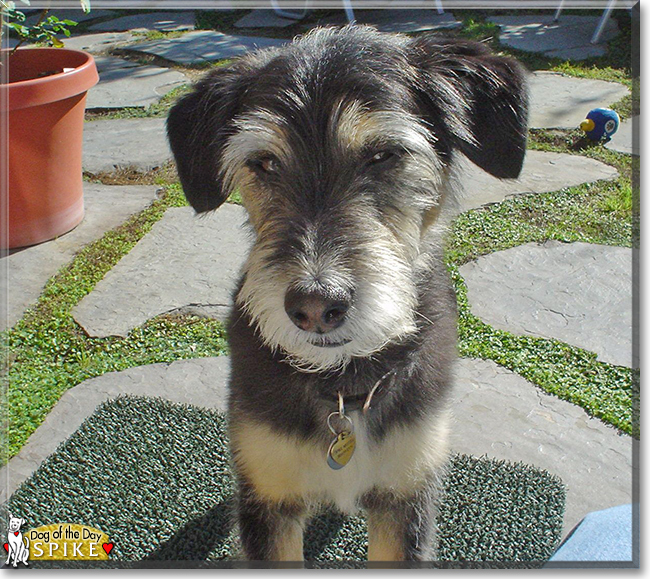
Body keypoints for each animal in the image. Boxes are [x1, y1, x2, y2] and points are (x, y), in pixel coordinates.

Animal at [167, 24, 528, 564]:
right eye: (263, 162)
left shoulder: (406, 496)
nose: (315, 308)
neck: (343, 386)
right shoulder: (268, 496)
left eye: (384, 154)